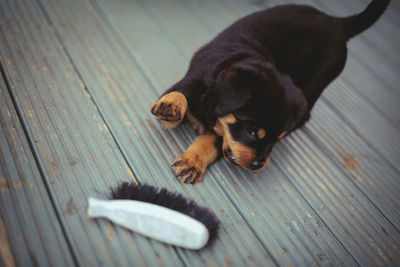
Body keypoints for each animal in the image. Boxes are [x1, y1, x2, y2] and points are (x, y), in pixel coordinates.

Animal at [151, 0, 390, 184]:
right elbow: (181, 93)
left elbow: (212, 141)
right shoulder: (193, 80)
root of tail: (337, 23)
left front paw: (193, 162)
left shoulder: (222, 135)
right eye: (252, 132)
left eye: (277, 139)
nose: (259, 164)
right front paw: (172, 104)